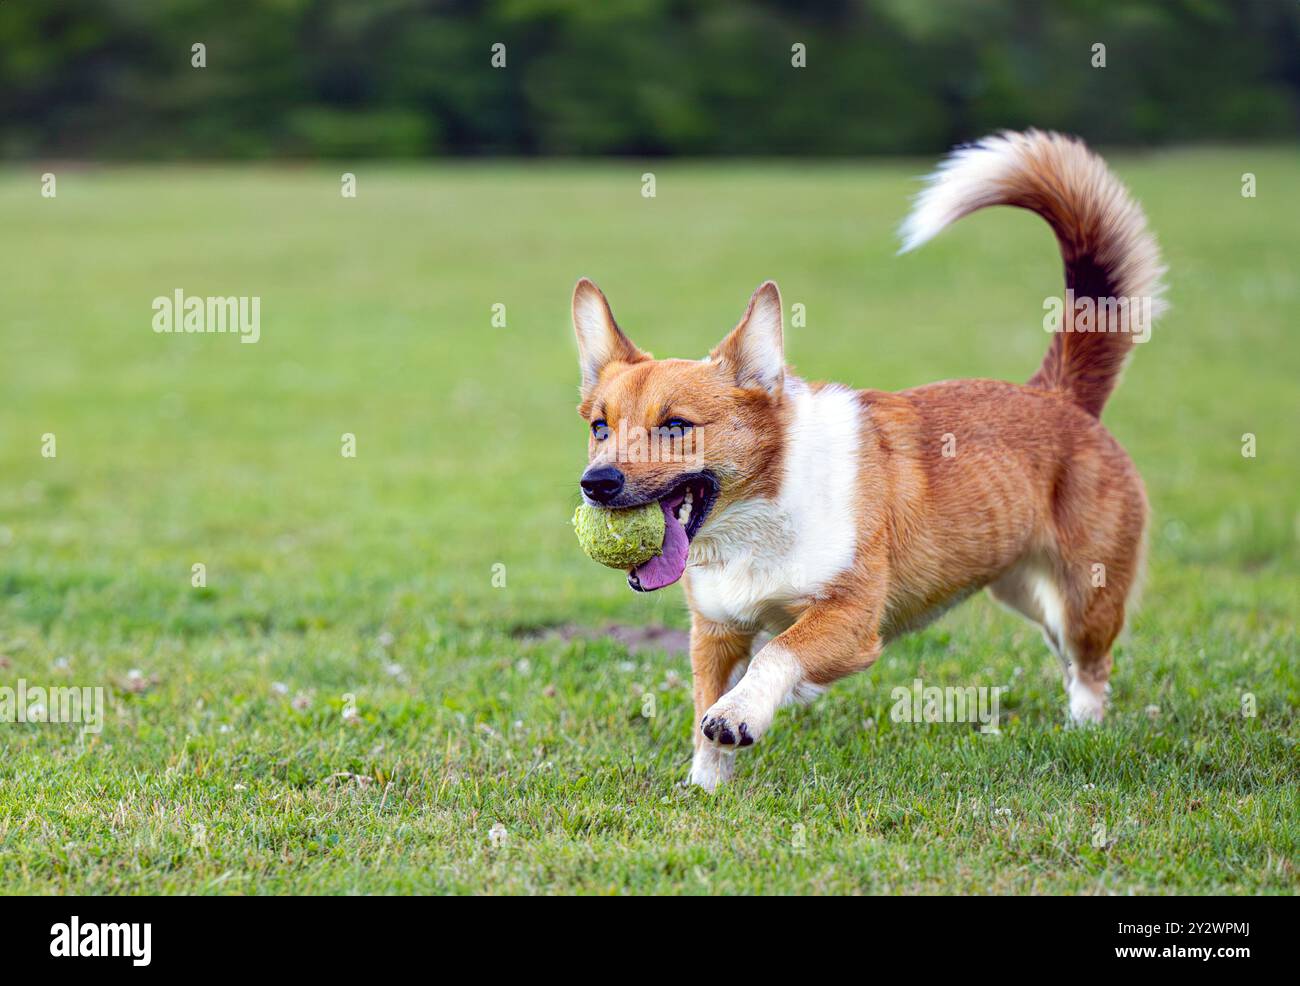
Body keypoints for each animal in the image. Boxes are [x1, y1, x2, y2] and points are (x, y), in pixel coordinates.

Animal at [574, 133, 1164, 796]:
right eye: (599, 428)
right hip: (1020, 588)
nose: (596, 484)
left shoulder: (851, 620)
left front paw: (739, 715)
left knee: (1091, 665)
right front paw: (706, 784)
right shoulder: (717, 631)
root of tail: (1059, 395)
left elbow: (777, 654)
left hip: (1084, 597)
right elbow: (706, 704)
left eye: (675, 426)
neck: (755, 520)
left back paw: (1085, 729)